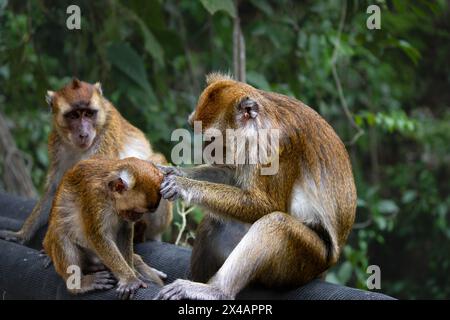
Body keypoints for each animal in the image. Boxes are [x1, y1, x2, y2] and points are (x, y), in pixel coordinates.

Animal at [0, 79, 172, 244]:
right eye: (74, 116)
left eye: (89, 114)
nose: (83, 134)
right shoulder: (57, 144)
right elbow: (56, 187)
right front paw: (21, 234)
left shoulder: (106, 135)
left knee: (155, 162)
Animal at [43, 158, 167, 300]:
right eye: (136, 211)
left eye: (140, 213)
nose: (138, 217)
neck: (110, 197)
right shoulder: (94, 197)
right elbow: (98, 237)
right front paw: (130, 279)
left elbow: (124, 232)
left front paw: (133, 274)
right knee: (61, 237)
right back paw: (80, 284)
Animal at [156, 72, 356, 300]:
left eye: (212, 138)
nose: (206, 151)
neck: (258, 126)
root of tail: (324, 268)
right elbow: (231, 173)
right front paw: (172, 172)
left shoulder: (279, 146)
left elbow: (269, 206)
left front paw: (182, 185)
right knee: (214, 221)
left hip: (306, 262)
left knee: (277, 224)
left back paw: (217, 291)